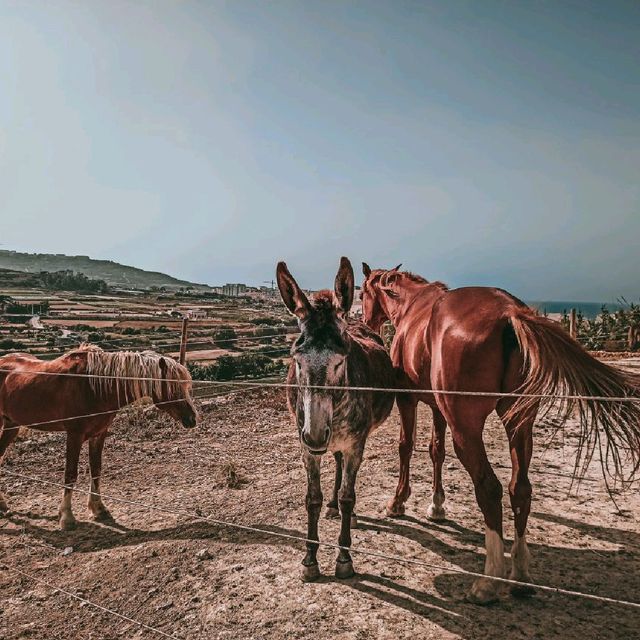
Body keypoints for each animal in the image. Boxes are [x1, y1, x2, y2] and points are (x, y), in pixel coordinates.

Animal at [0, 344, 196, 528]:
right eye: (172, 386)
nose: (192, 418)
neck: (94, 386)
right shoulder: (75, 435)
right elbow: (70, 473)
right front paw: (67, 516)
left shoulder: (99, 434)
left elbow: (96, 469)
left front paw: (99, 508)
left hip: (11, 424)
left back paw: (3, 504)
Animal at [278, 256, 398, 580]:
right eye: (296, 359)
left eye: (340, 359)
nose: (316, 434)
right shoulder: (306, 448)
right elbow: (312, 498)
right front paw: (310, 560)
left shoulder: (356, 443)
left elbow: (349, 495)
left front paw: (344, 559)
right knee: (337, 461)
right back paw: (332, 505)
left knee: (346, 474)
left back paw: (348, 513)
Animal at [360, 264, 640, 604]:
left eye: (363, 292)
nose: (365, 321)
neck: (413, 305)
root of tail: (509, 313)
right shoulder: (438, 407)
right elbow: (436, 451)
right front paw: (437, 506)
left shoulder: (408, 398)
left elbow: (407, 447)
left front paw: (398, 502)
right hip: (518, 424)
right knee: (520, 489)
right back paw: (520, 575)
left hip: (466, 429)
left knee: (490, 489)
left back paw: (489, 581)